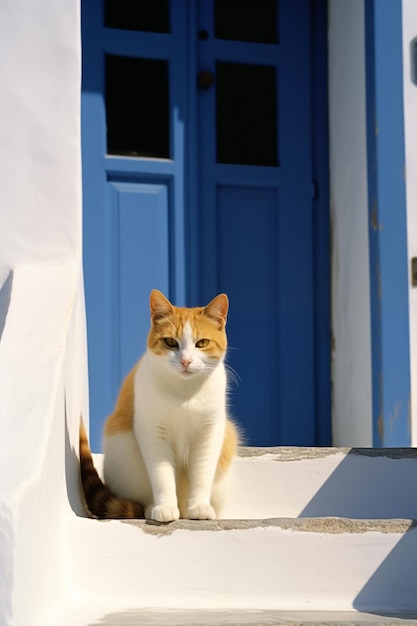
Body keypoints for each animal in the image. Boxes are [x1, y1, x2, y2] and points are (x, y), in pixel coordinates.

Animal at [79, 288, 239, 520]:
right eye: (171, 342)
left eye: (202, 343)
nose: (186, 361)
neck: (184, 393)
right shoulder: (153, 431)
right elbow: (162, 474)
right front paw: (165, 507)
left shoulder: (209, 432)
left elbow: (202, 473)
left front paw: (199, 506)